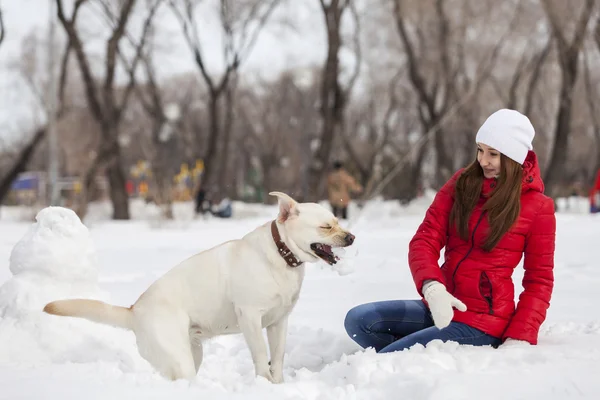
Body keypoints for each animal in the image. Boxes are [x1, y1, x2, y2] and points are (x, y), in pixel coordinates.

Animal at [44, 194, 354, 384]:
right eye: (326, 227)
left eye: (338, 221)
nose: (351, 237)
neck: (281, 255)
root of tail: (134, 310)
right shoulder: (251, 318)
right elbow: (260, 357)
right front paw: (263, 385)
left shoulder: (279, 322)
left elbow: (276, 359)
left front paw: (278, 386)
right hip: (179, 357)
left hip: (193, 354)